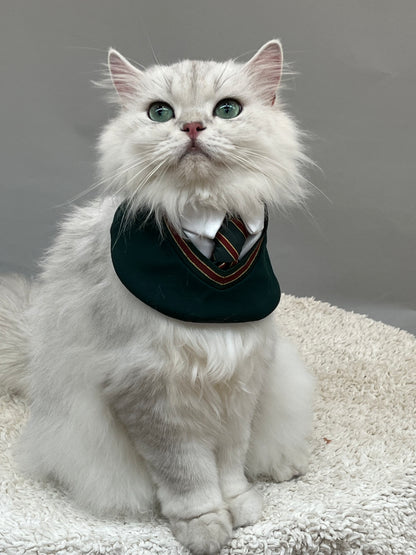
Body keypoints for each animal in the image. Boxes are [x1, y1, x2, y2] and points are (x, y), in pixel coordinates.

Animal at [0, 40, 312, 555]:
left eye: (227, 110)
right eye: (160, 113)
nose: (192, 127)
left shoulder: (240, 382)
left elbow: (230, 462)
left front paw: (240, 505)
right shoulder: (152, 392)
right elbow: (189, 475)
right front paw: (207, 526)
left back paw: (286, 467)